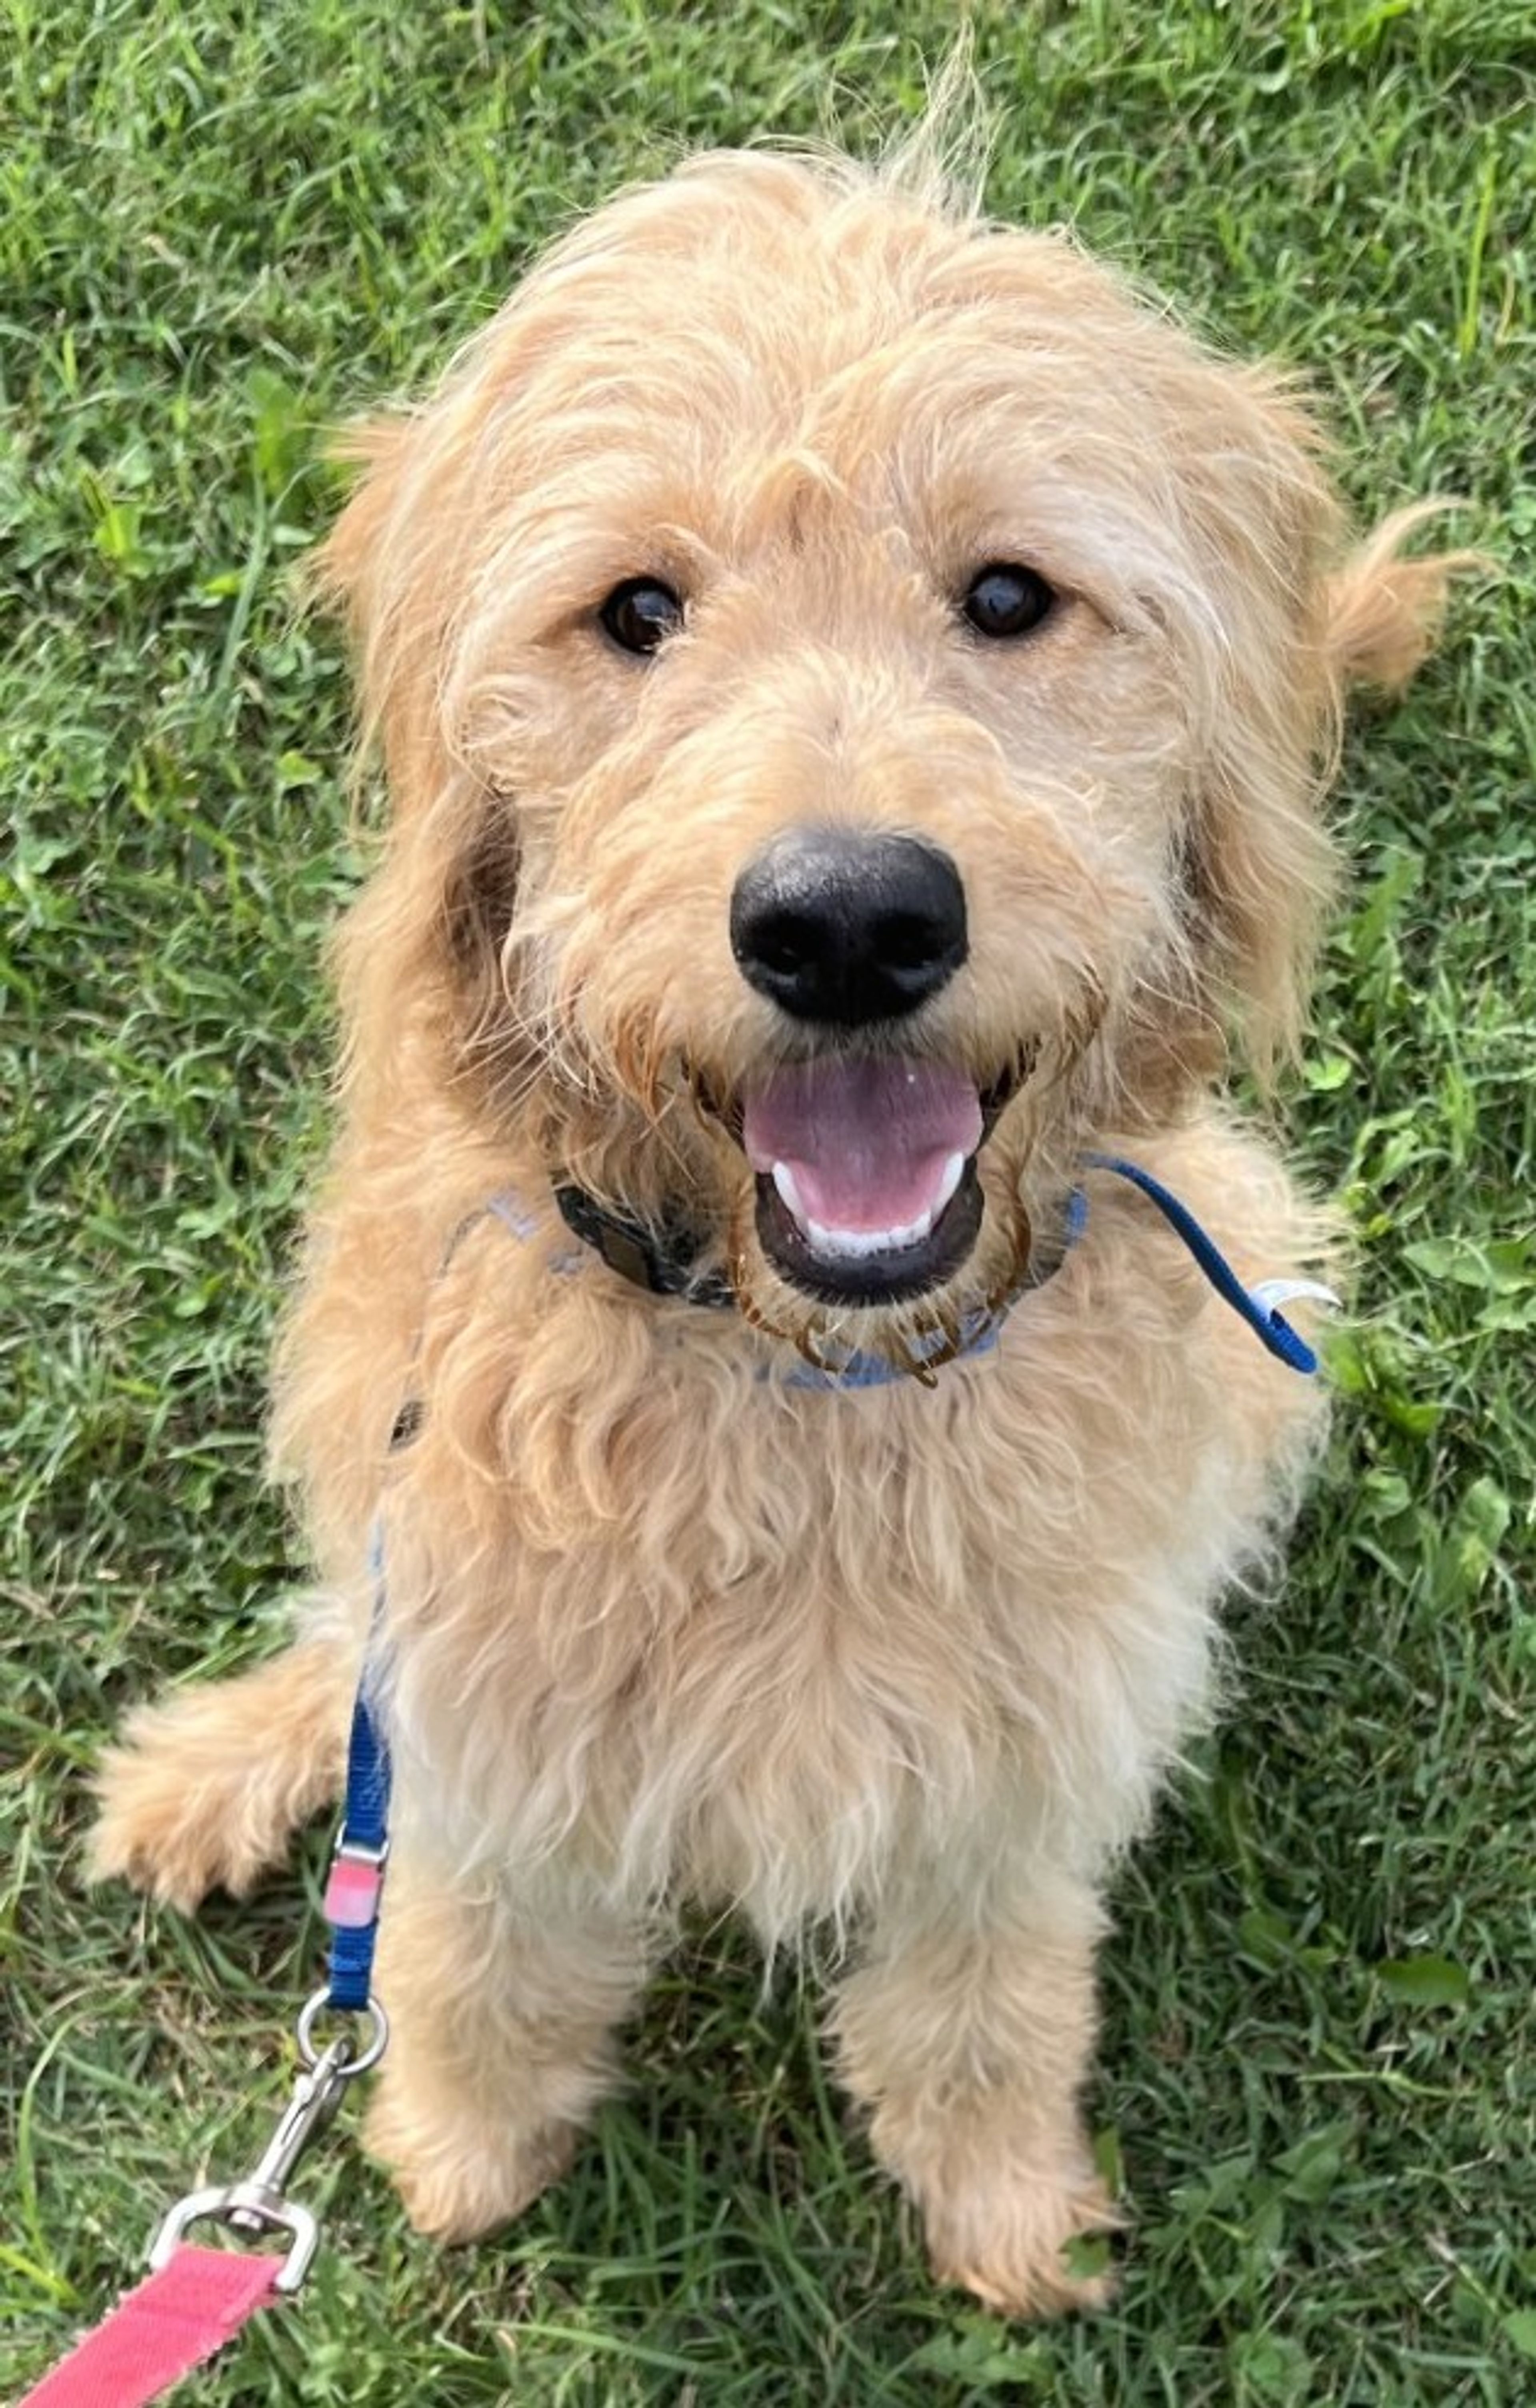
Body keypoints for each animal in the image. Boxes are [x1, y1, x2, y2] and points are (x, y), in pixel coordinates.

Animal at [87, 127, 1464, 2312]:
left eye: (1010, 596)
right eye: (638, 609)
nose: (846, 921)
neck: (803, 1377)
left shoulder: (1021, 1755)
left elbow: (987, 1988)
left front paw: (999, 2199)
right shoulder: (492, 1694)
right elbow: (467, 1942)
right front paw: (459, 2149)